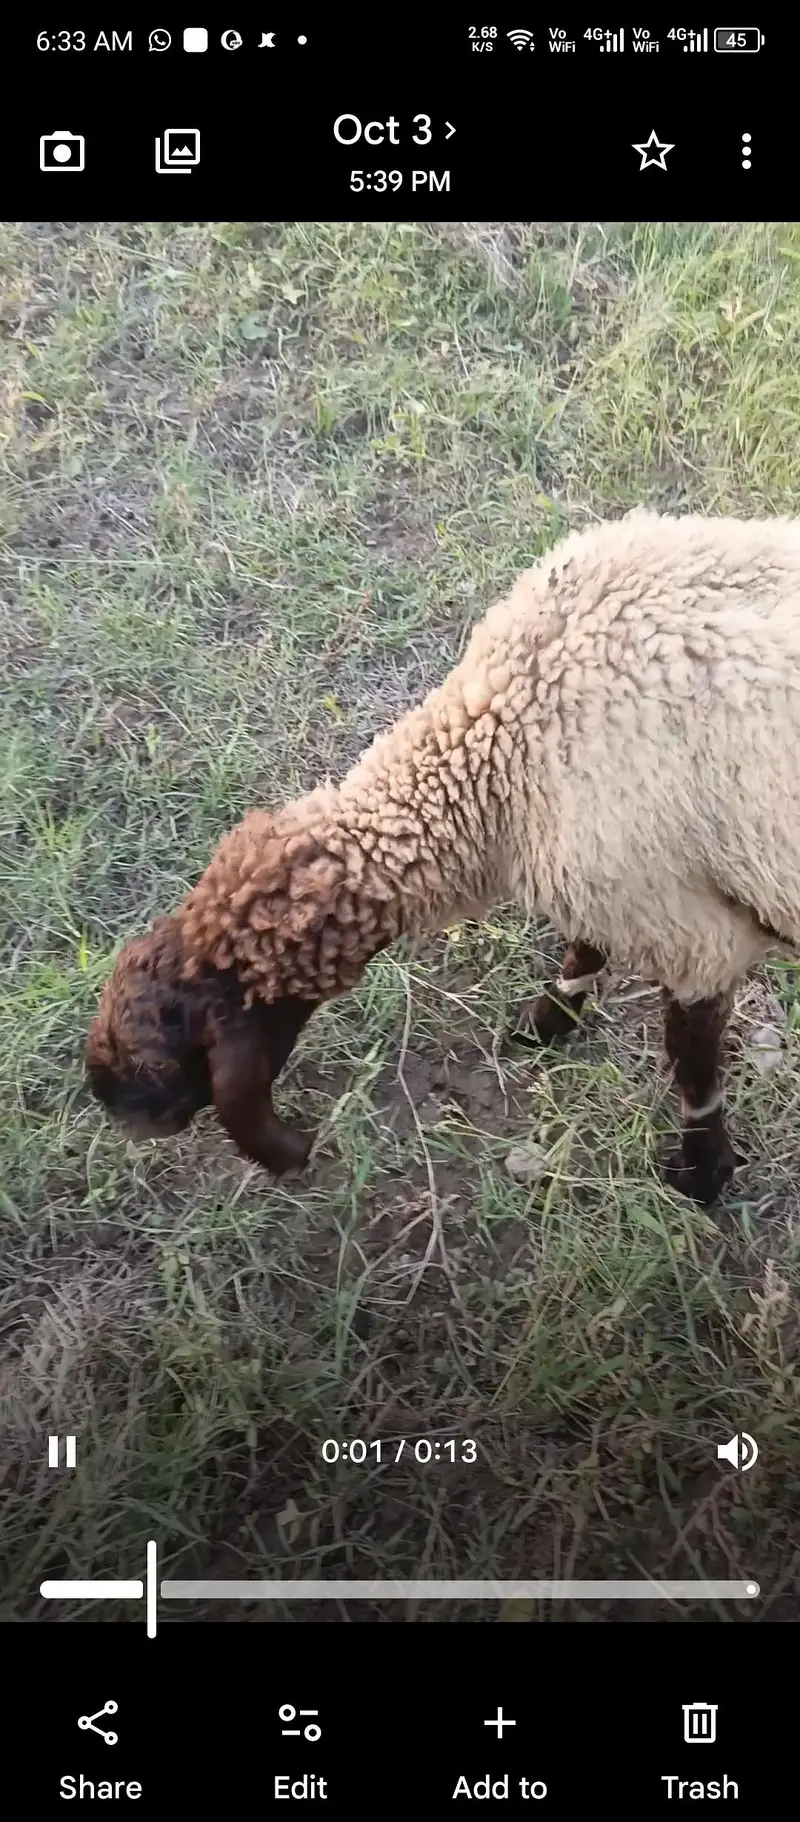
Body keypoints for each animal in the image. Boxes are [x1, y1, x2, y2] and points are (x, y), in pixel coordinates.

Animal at [85, 509, 800, 1207]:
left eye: (166, 1059)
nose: (106, 1098)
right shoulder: (613, 881)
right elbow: (585, 952)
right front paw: (546, 1023)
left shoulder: (681, 928)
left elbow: (691, 1059)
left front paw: (704, 1174)